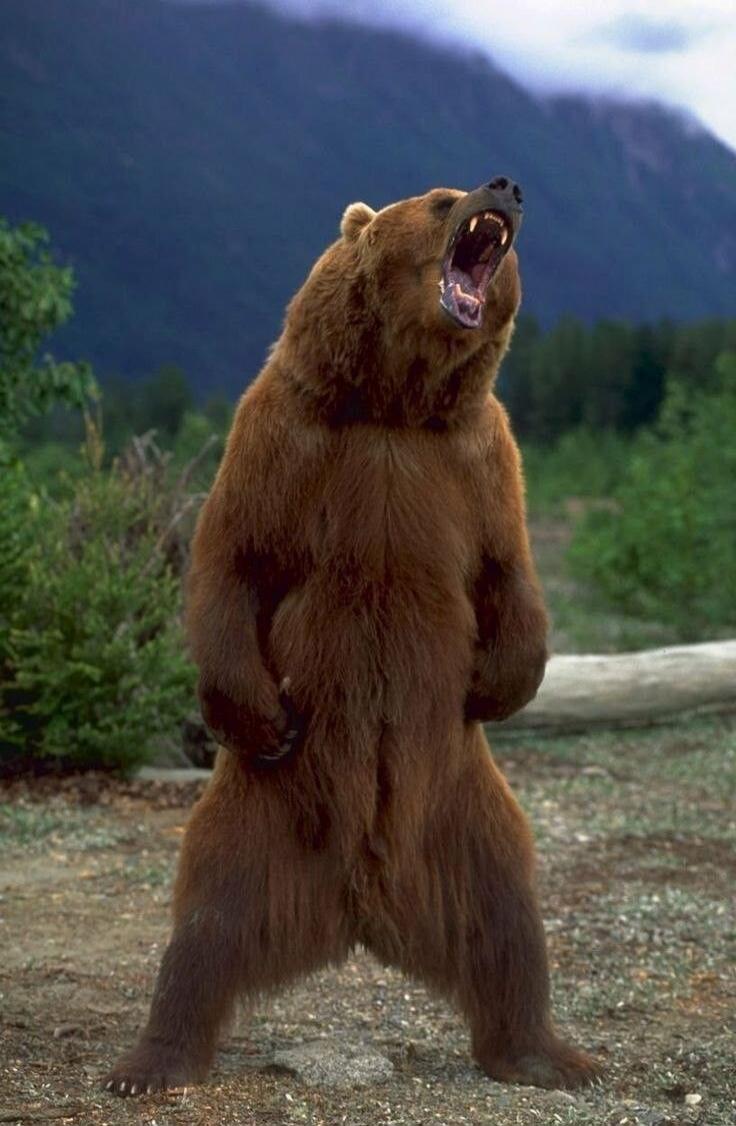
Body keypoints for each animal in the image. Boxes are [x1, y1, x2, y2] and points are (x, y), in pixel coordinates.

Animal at [104, 176, 598, 1095]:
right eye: (441, 198)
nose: (506, 186)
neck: (391, 404)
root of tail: (362, 904)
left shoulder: (476, 458)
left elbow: (507, 573)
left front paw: (495, 683)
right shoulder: (285, 436)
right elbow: (233, 559)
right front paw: (258, 713)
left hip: (467, 816)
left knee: (509, 917)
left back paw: (550, 1054)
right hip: (259, 814)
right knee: (205, 922)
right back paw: (152, 1061)